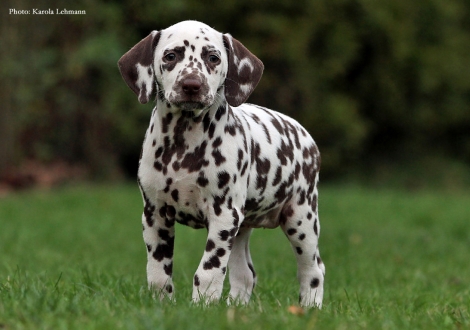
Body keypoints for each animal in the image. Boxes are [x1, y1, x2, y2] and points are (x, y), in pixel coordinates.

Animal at [117, 20, 324, 308]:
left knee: (313, 269)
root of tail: (304, 133)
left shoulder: (223, 215)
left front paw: (202, 306)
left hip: (301, 218)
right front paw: (163, 306)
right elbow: (158, 273)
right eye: (171, 56)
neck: (184, 144)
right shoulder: (155, 214)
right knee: (245, 274)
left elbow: (208, 271)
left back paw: (310, 307)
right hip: (241, 228)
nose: (192, 84)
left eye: (213, 58)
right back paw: (235, 307)